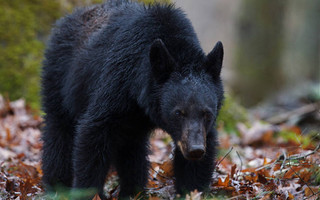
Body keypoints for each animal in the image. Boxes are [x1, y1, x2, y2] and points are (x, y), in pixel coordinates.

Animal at [41, 0, 224, 198]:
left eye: (207, 113)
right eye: (178, 113)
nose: (195, 150)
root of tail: (67, 18)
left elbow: (199, 158)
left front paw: (192, 190)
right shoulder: (117, 83)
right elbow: (93, 133)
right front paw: (87, 192)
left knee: (132, 149)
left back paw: (133, 191)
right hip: (59, 78)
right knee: (59, 129)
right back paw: (56, 184)